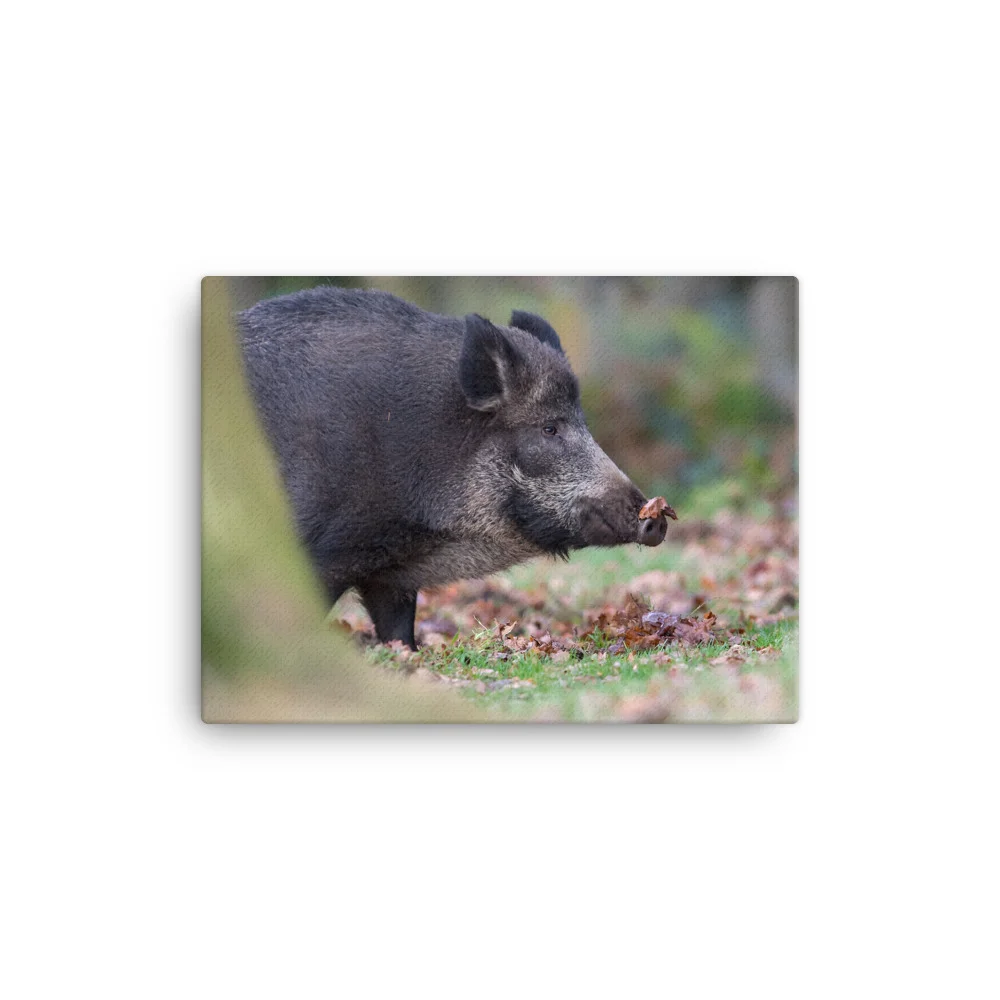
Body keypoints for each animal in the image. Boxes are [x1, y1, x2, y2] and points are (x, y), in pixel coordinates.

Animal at [237, 287, 667, 648]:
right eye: (550, 428)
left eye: (583, 422)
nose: (655, 517)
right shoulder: (325, 553)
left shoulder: (389, 572)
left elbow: (398, 628)